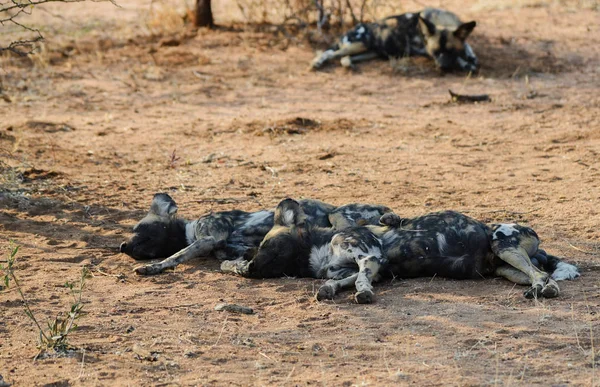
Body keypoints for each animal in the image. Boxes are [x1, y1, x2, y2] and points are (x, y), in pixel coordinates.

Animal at [122, 194, 392, 276]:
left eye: (138, 230)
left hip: (339, 214)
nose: (123, 246)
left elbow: (174, 256)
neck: (188, 230)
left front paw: (152, 268)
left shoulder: (208, 238)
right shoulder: (228, 248)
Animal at [223, 200, 580, 304]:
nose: (249, 267)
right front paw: (328, 290)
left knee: (542, 274)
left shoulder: (368, 257)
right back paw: (538, 288)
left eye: (267, 246)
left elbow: (359, 282)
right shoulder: (370, 268)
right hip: (506, 269)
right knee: (536, 274)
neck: (318, 250)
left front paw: (363, 295)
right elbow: (337, 282)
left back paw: (543, 290)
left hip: (502, 243)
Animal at [310, 7, 478, 73]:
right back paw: (317, 62)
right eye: (435, 52)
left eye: (451, 50)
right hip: (360, 44)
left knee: (343, 57)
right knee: (330, 53)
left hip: (369, 52)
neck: (441, 21)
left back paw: (348, 64)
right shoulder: (425, 51)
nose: (443, 67)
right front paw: (466, 63)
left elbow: (466, 46)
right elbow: (460, 58)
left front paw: (471, 57)